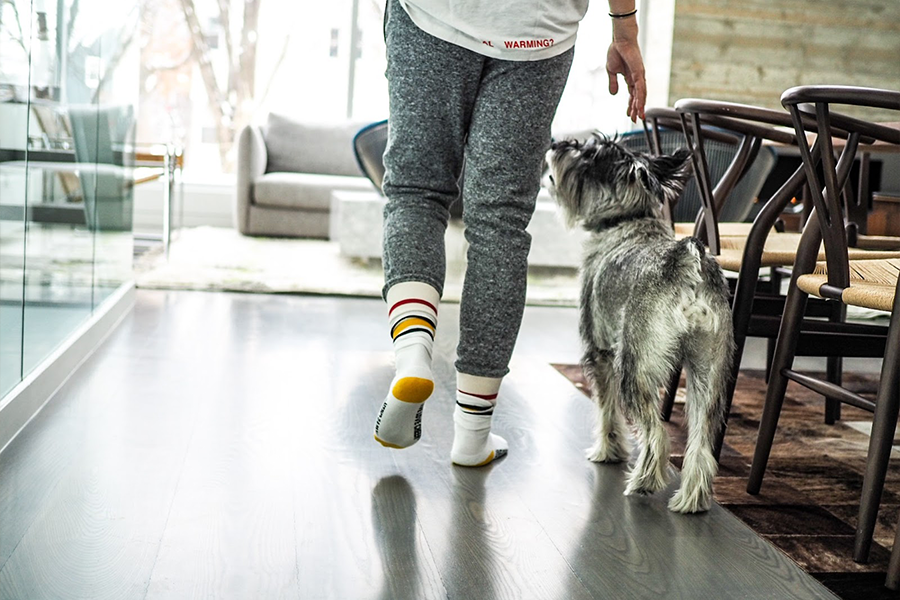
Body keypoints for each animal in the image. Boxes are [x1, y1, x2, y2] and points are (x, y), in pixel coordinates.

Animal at [544, 136, 736, 516]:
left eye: (588, 154)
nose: (558, 143)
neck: (626, 220)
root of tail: (688, 261)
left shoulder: (600, 353)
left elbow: (606, 410)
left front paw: (607, 451)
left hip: (635, 368)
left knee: (655, 433)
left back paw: (643, 482)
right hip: (709, 374)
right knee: (700, 444)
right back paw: (691, 500)